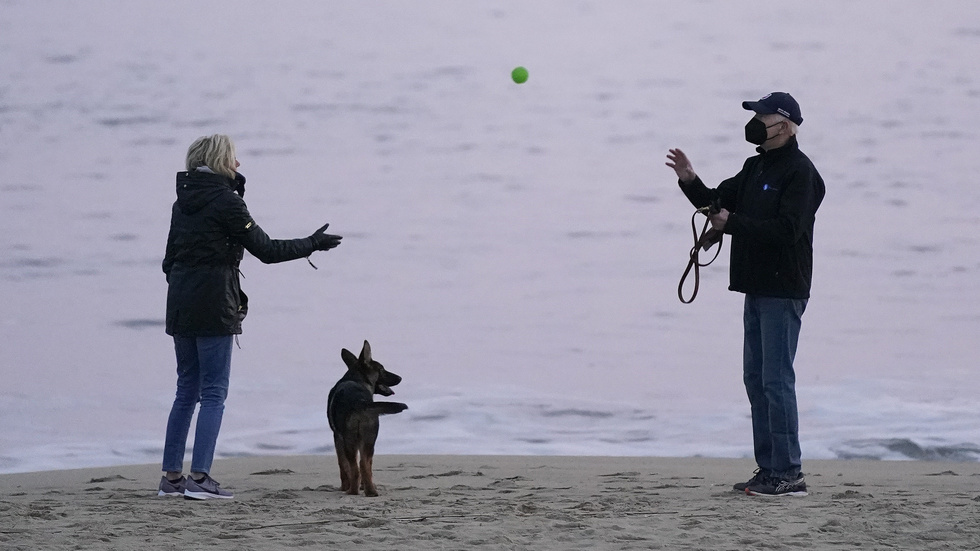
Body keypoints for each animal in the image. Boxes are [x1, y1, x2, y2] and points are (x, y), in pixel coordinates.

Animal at [328, 340, 408, 496]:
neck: (356, 378)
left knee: (356, 466)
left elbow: (343, 465)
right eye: (382, 369)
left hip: (350, 441)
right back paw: (370, 491)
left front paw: (344, 486)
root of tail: (359, 402)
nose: (400, 378)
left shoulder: (338, 438)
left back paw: (352, 491)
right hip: (369, 440)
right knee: (364, 464)